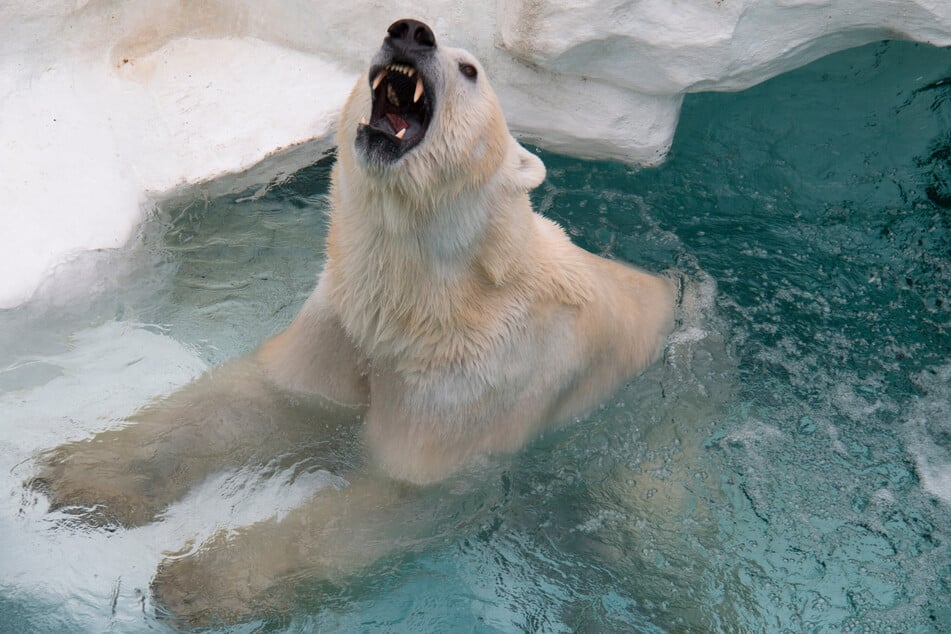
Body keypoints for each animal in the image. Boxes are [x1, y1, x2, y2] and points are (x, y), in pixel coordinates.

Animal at [31, 18, 676, 624]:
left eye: (470, 69)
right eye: (395, 30)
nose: (411, 31)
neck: (425, 303)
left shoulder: (476, 378)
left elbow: (387, 499)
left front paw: (199, 580)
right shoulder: (344, 323)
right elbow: (264, 401)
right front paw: (83, 476)